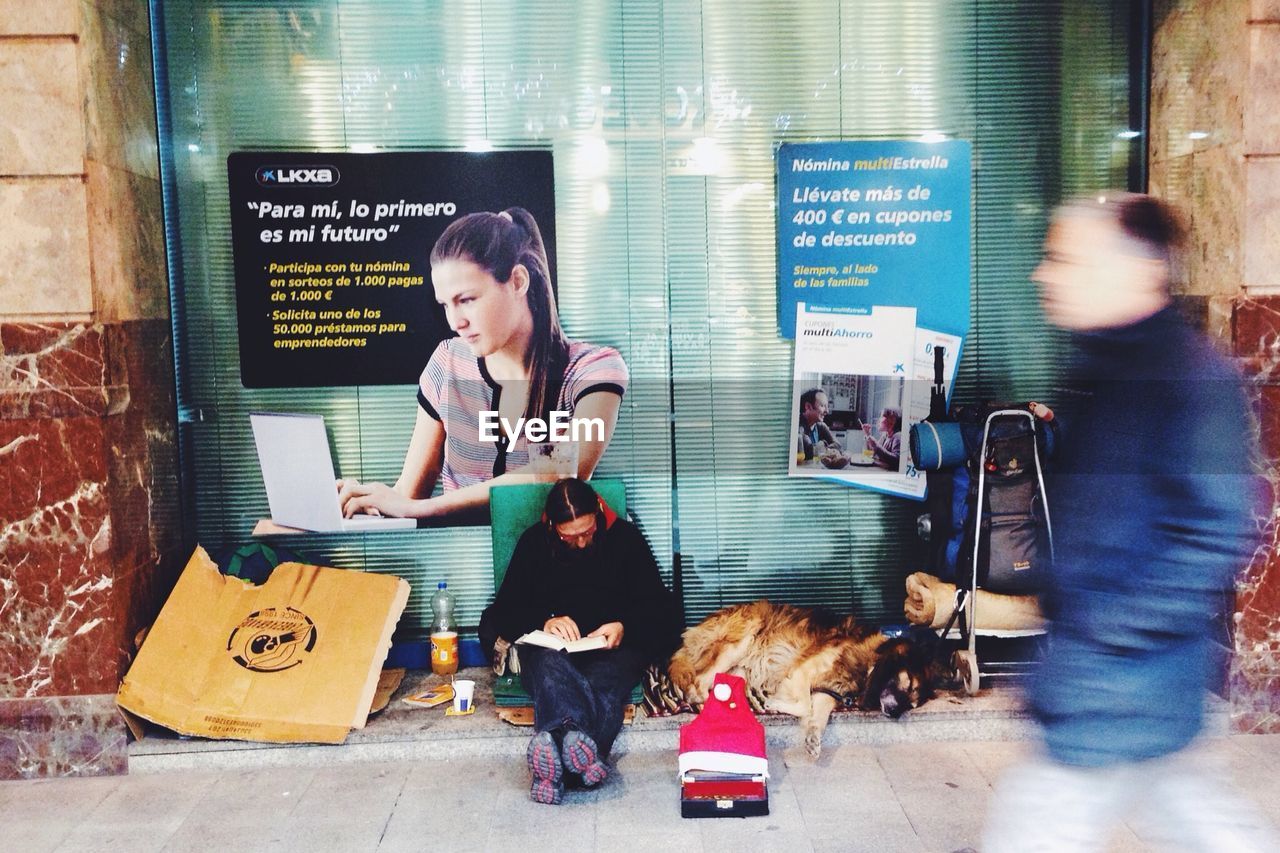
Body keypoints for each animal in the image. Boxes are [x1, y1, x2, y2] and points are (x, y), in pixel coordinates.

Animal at [670, 596, 942, 758]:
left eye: (913, 704)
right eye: (907, 685)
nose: (896, 714)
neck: (869, 661)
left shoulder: (830, 691)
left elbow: (819, 713)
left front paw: (813, 737)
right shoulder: (802, 671)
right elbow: (804, 704)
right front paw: (774, 702)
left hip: (740, 668)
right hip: (742, 638)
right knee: (698, 684)